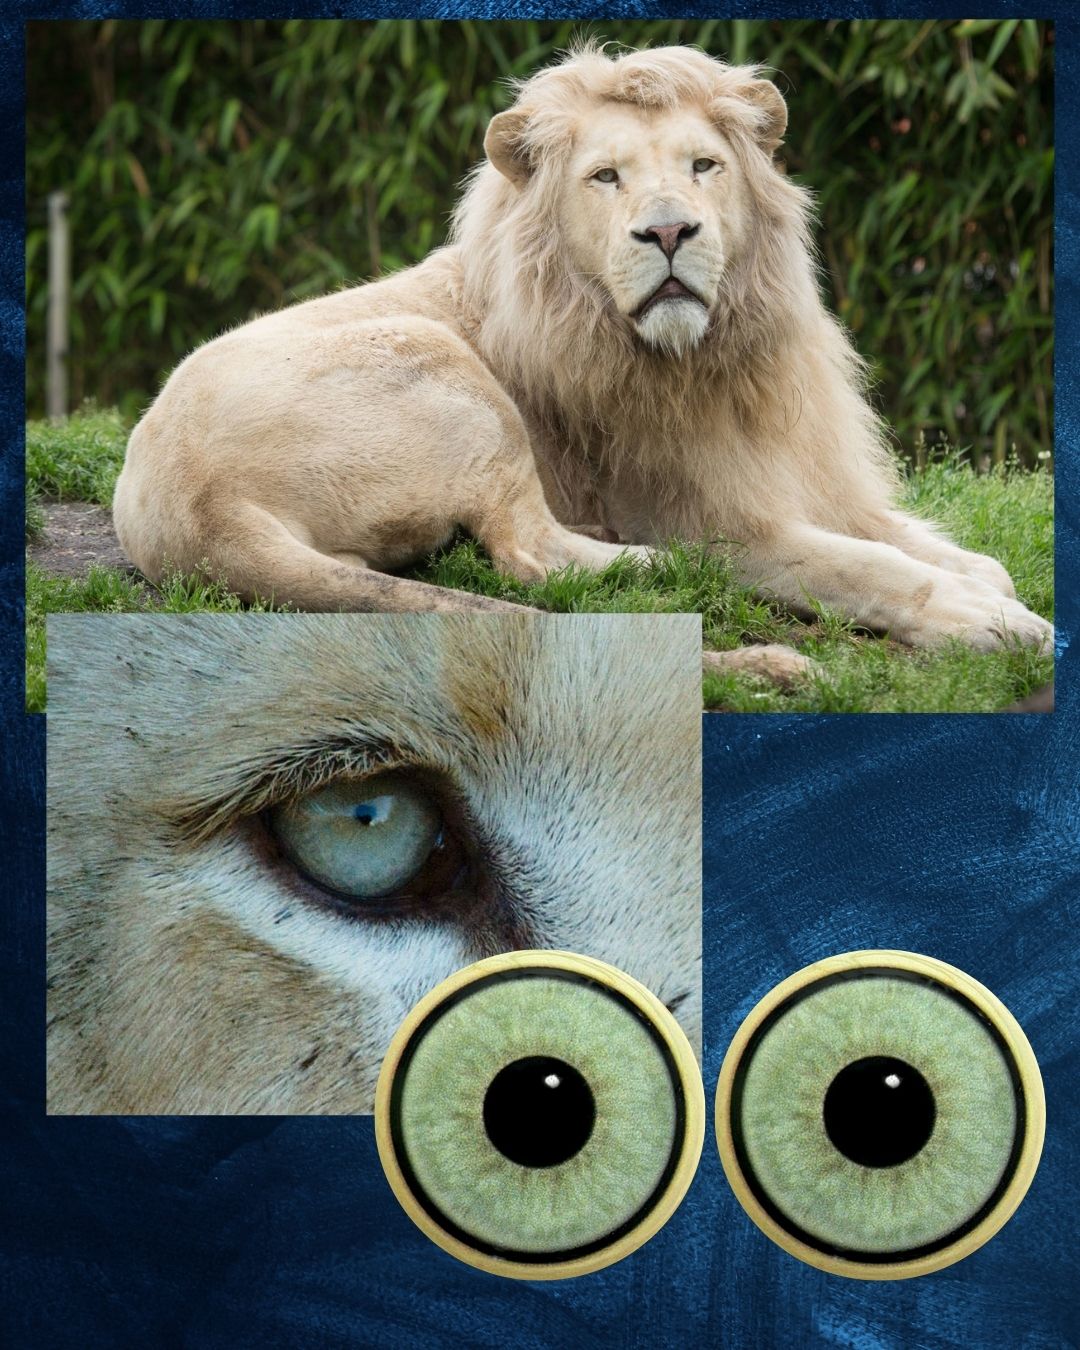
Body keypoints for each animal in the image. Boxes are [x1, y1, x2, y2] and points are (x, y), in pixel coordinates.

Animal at [111, 43, 1051, 652]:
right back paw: (658, 569)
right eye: (606, 178)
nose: (668, 231)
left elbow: (954, 553)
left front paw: (985, 585)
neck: (720, 357)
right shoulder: (715, 519)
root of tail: (194, 508)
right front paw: (986, 621)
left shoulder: (816, 476)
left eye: (704, 166)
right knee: (533, 555)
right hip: (443, 369)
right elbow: (868, 569)